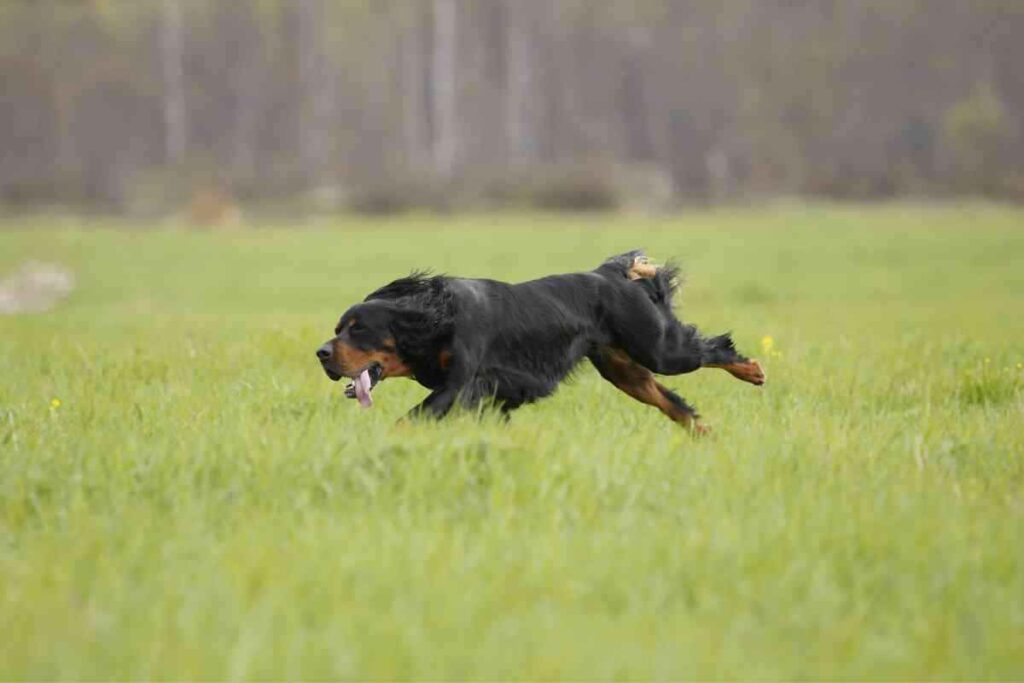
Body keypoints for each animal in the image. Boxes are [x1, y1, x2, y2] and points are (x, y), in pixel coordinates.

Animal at [315, 250, 765, 432]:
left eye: (358, 328)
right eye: (338, 328)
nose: (321, 353)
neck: (435, 319)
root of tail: (609, 273)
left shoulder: (459, 386)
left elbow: (410, 419)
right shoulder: (487, 394)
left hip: (658, 348)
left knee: (713, 348)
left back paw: (752, 371)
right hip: (624, 371)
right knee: (673, 403)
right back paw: (706, 436)